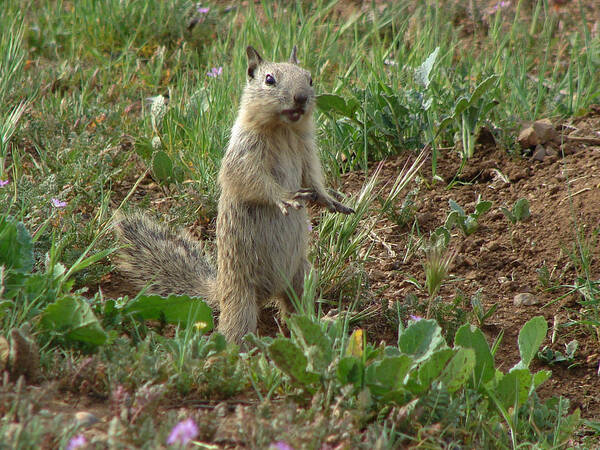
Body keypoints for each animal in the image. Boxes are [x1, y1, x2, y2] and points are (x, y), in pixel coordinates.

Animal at [115, 45, 354, 342]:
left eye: (310, 79)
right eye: (269, 80)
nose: (300, 98)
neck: (283, 130)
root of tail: (219, 290)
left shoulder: (307, 153)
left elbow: (312, 179)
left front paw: (331, 200)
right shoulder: (243, 155)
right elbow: (251, 181)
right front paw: (283, 197)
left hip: (303, 276)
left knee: (296, 313)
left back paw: (324, 323)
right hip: (241, 298)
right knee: (234, 331)